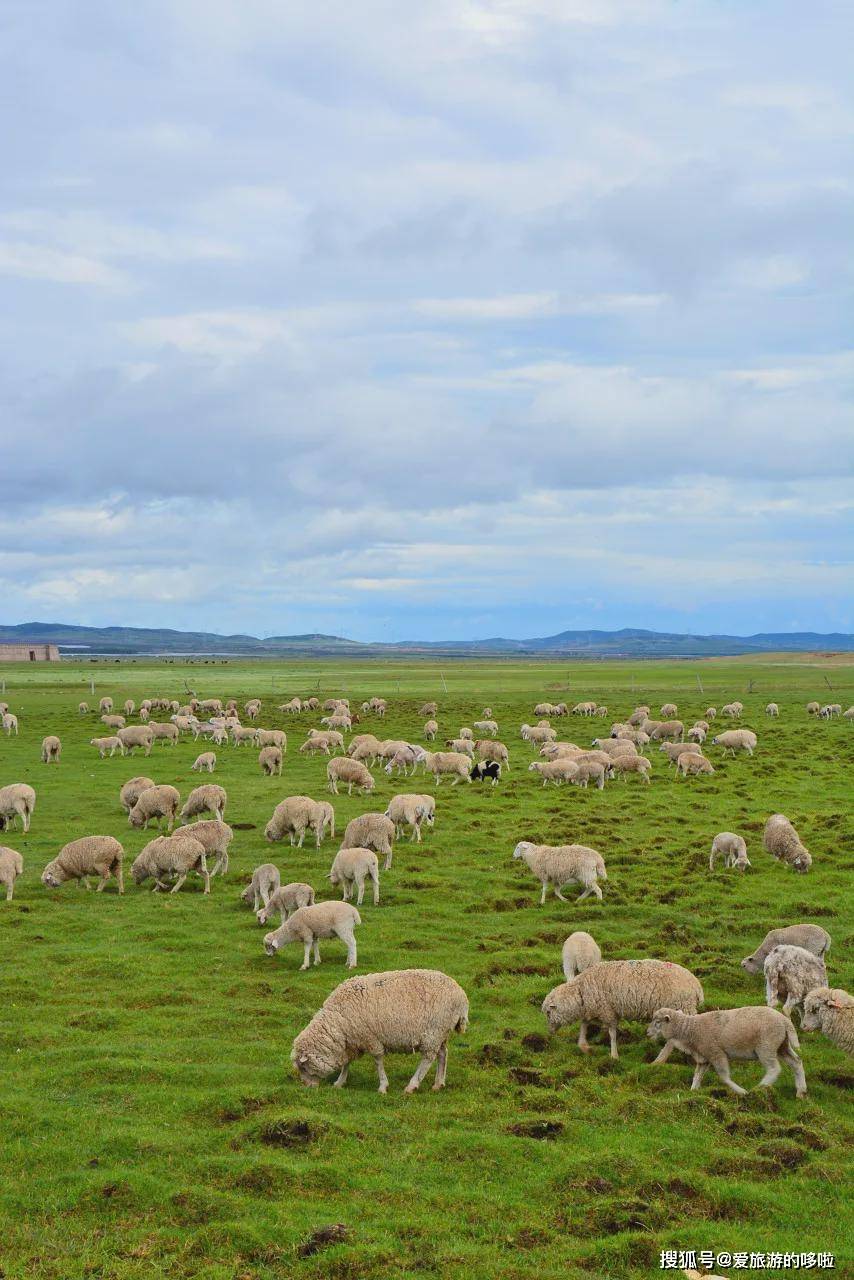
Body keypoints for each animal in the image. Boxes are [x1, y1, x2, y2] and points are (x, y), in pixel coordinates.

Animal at [291, 962, 468, 1095]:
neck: (338, 1020)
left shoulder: (369, 1038)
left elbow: (377, 1060)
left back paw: (412, 1086)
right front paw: (340, 1082)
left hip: (433, 1032)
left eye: (303, 1067)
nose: (307, 1087)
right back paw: (438, 1083)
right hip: (440, 1033)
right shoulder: (352, 1041)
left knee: (428, 1058)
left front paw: (383, 1086)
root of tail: (462, 996)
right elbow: (347, 1062)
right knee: (443, 1054)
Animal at [545, 962, 706, 1059]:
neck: (580, 992)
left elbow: (612, 1034)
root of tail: (696, 987)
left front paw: (614, 1055)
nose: (550, 1032)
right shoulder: (593, 1010)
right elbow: (584, 1025)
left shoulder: (607, 1011)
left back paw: (660, 1060)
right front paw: (584, 1047)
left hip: (682, 1007)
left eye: (548, 1012)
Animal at [647, 1003, 809, 1095]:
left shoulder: (716, 1053)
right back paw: (801, 1092)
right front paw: (693, 1091)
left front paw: (741, 1091)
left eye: (657, 1021)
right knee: (796, 1062)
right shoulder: (704, 1057)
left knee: (774, 1068)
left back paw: (760, 1087)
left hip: (766, 1046)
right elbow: (697, 1075)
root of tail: (785, 1021)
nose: (647, 1032)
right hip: (782, 1045)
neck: (689, 1030)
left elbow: (724, 1077)